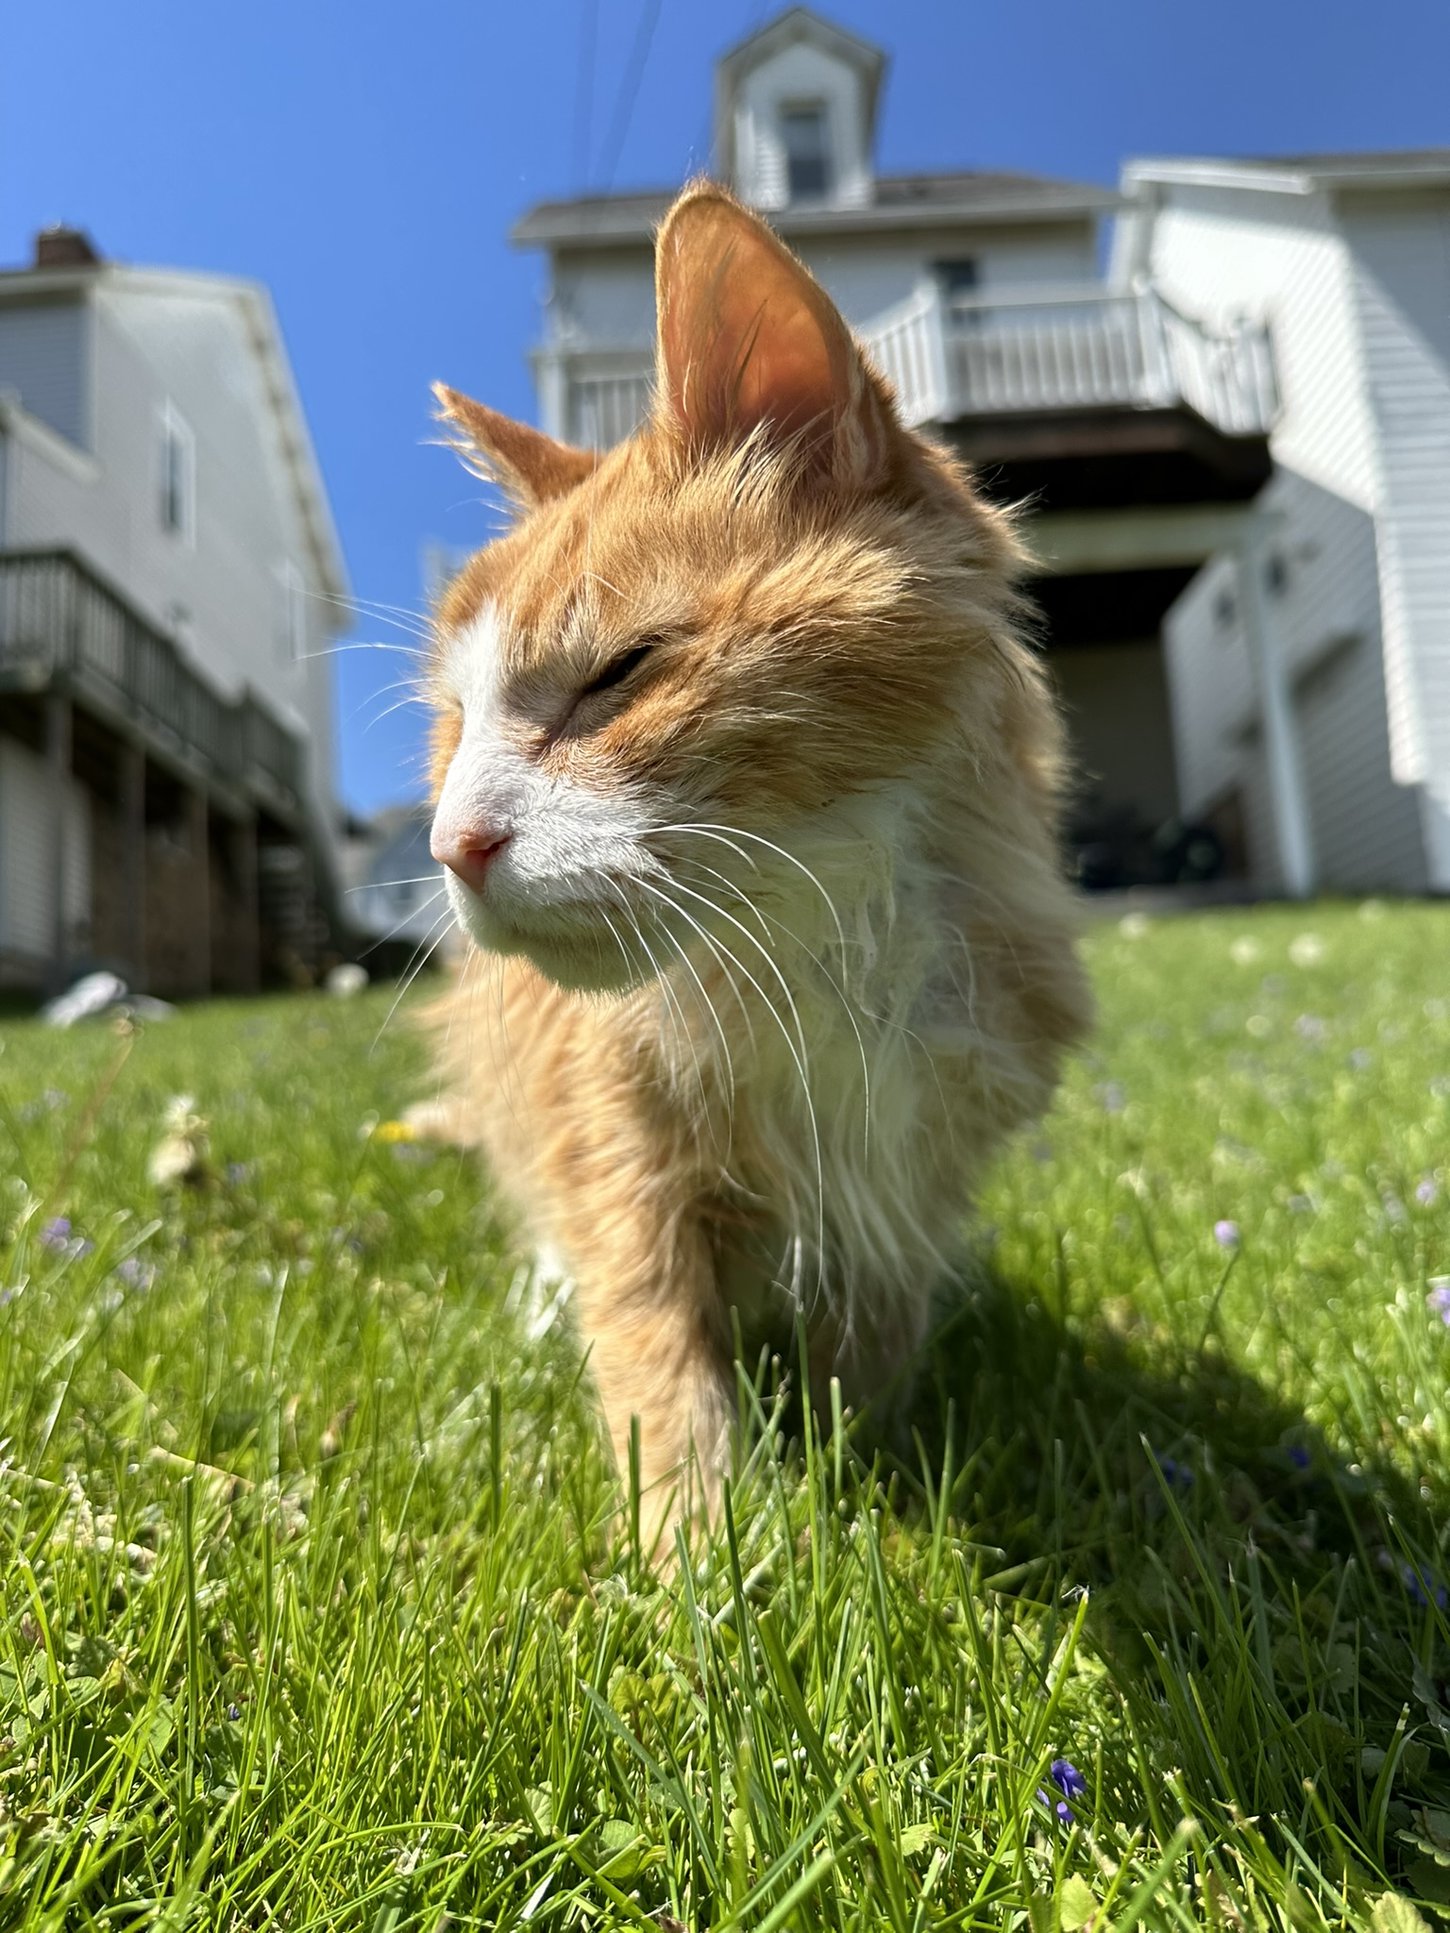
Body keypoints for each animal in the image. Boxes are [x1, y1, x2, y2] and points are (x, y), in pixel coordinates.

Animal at [419, 181, 1090, 1554]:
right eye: (455, 726)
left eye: (615, 677)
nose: (452, 843)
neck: (820, 948)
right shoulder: (618, 1154)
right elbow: (653, 1355)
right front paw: (698, 1553)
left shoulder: (911, 1186)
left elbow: (870, 1354)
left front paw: (864, 1490)